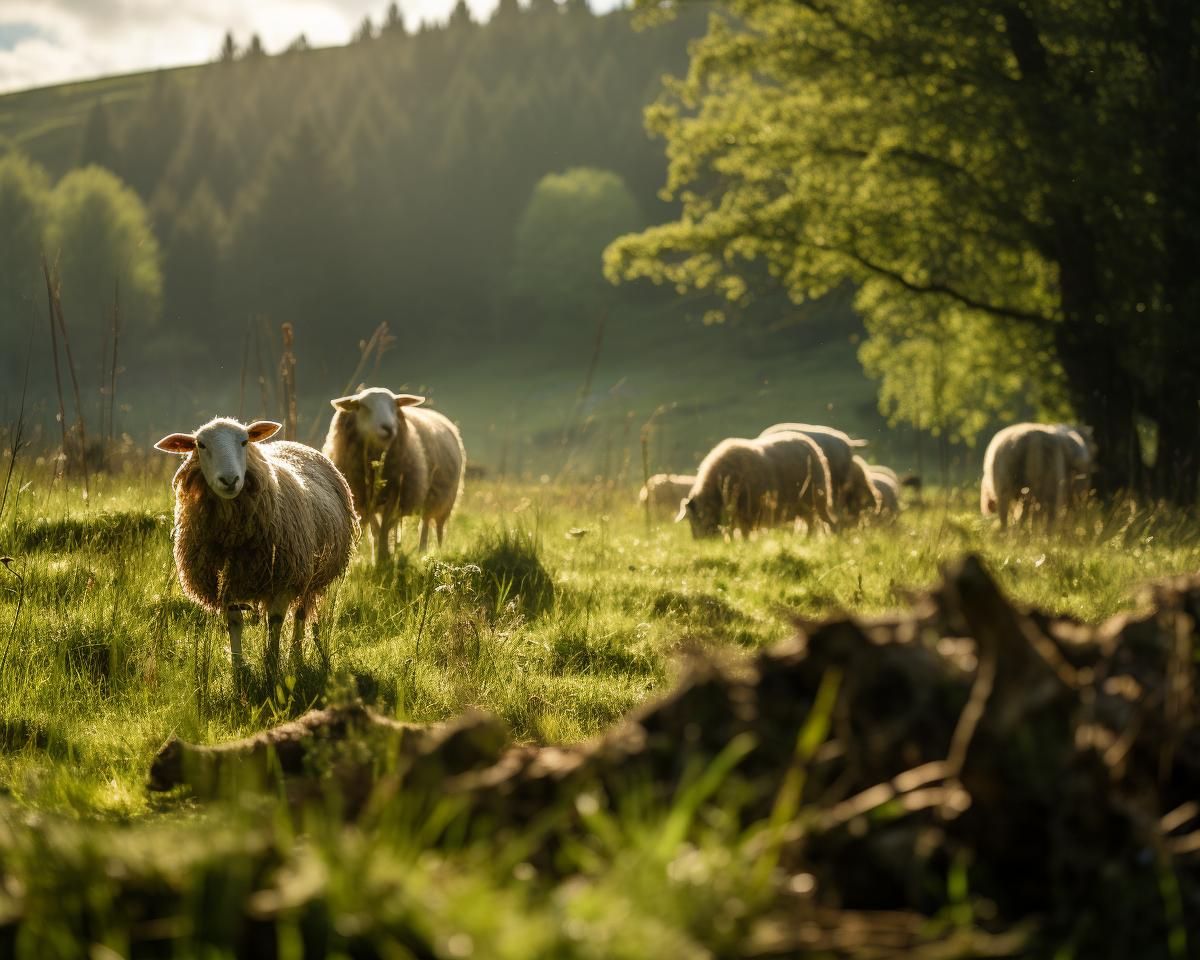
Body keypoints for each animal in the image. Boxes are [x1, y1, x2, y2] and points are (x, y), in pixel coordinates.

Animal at [152, 415, 355, 672]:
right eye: (201, 445)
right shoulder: (226, 581)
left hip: (310, 574)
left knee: (301, 614)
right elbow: (235, 623)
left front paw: (272, 665)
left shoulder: (283, 579)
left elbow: (275, 622)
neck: (233, 532)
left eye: (244, 441)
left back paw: (295, 657)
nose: (229, 480)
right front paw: (238, 666)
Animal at [321, 384, 465, 561]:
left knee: (432, 525)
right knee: (406, 524)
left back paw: (431, 551)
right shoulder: (365, 499)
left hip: (442, 498)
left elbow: (384, 528)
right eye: (363, 407)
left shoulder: (395, 493)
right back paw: (402, 548)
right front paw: (380, 555)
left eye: (394, 406)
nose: (388, 428)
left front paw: (384, 557)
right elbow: (376, 529)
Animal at [676, 434, 835, 540]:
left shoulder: (748, 512)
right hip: (804, 506)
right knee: (811, 524)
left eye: (698, 518)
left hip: (818, 498)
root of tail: (811, 445)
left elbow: (744, 533)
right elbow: (733, 533)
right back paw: (807, 539)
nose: (701, 541)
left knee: (825, 522)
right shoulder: (735, 515)